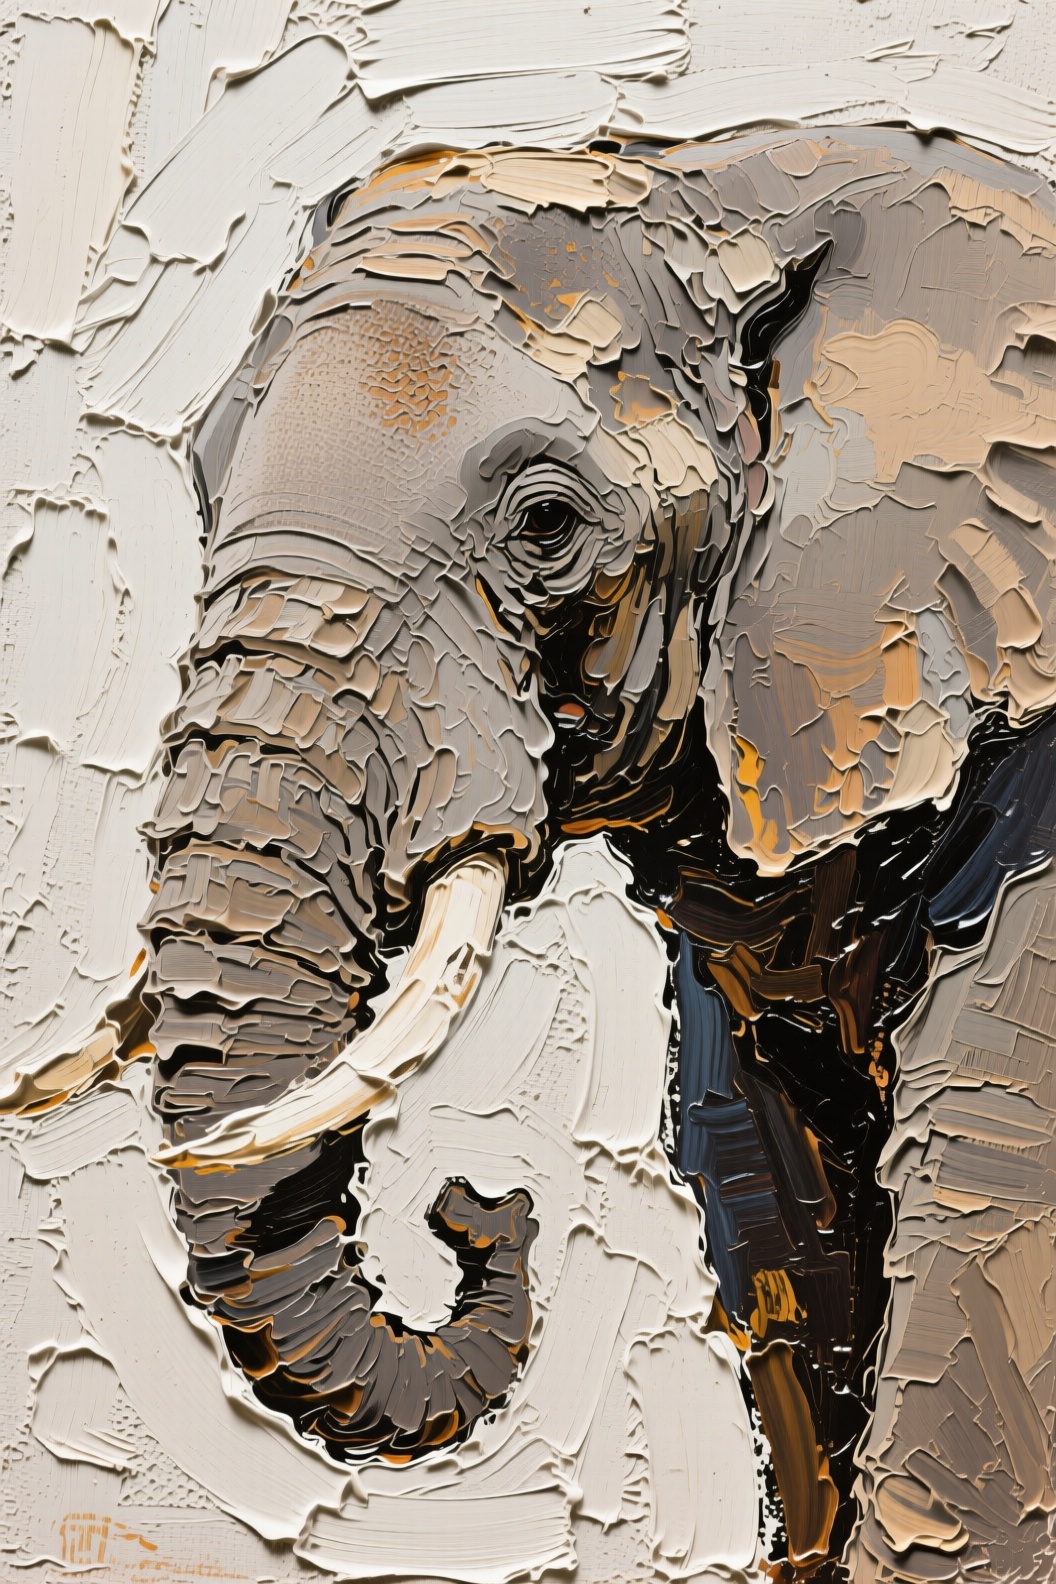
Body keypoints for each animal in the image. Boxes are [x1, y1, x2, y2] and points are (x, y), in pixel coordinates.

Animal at [120, 127, 1056, 1578]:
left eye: (547, 526)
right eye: (206, 478)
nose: (479, 1206)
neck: (739, 188)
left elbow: (991, 1186)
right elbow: (770, 1215)